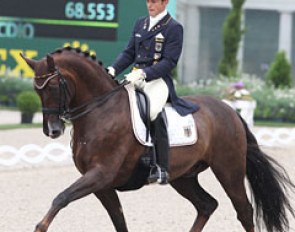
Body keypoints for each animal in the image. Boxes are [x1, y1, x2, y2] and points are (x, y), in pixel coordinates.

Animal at [20, 47, 294, 232]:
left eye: (54, 87)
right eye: (36, 90)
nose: (52, 130)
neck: (101, 110)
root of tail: (230, 111)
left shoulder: (100, 174)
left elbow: (61, 198)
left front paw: (40, 226)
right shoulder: (101, 184)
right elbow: (119, 220)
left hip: (229, 170)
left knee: (244, 210)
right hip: (183, 176)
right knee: (207, 205)